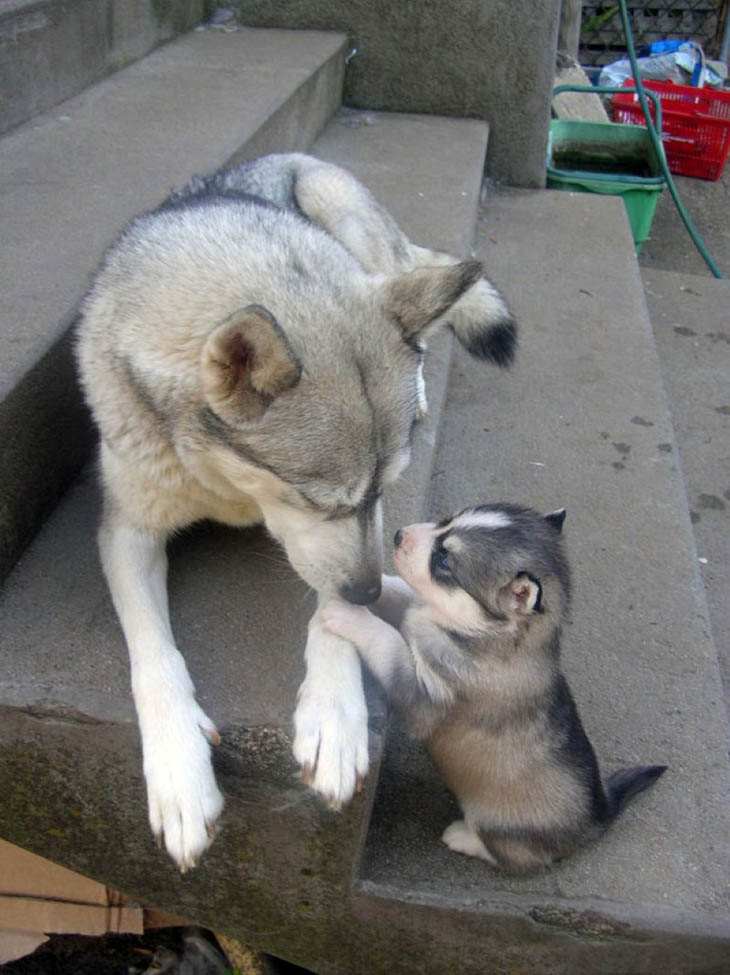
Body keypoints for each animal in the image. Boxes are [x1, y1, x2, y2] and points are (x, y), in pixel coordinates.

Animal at [77, 154, 516, 876]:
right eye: (318, 500)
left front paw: (334, 714)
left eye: (383, 490)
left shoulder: (360, 537)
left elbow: (331, 607)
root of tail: (285, 157)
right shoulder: (126, 531)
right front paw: (178, 771)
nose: (369, 592)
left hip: (342, 213)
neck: (224, 484)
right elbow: (153, 654)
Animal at [322, 508, 664, 872]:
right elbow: (402, 592)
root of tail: (599, 814)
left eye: (444, 560)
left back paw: (464, 838)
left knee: (513, 856)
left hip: (499, 826)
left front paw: (350, 614)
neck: (488, 634)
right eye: (446, 520)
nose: (400, 534)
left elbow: (388, 642)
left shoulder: (425, 696)